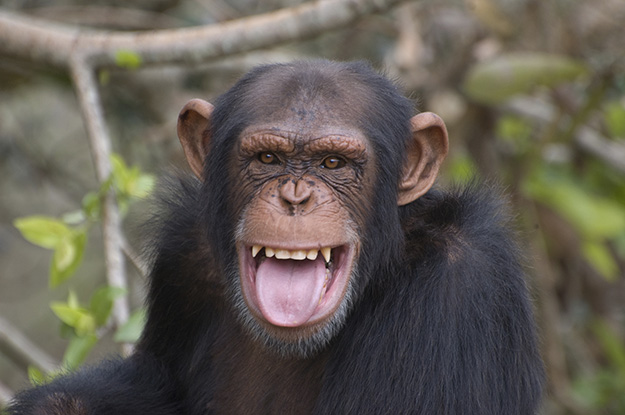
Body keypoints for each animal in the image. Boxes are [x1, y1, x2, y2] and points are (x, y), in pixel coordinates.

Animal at [7, 59, 544, 415]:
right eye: (267, 158)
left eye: (333, 163)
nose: (295, 196)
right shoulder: (185, 254)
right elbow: (154, 378)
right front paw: (60, 405)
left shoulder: (459, 285)